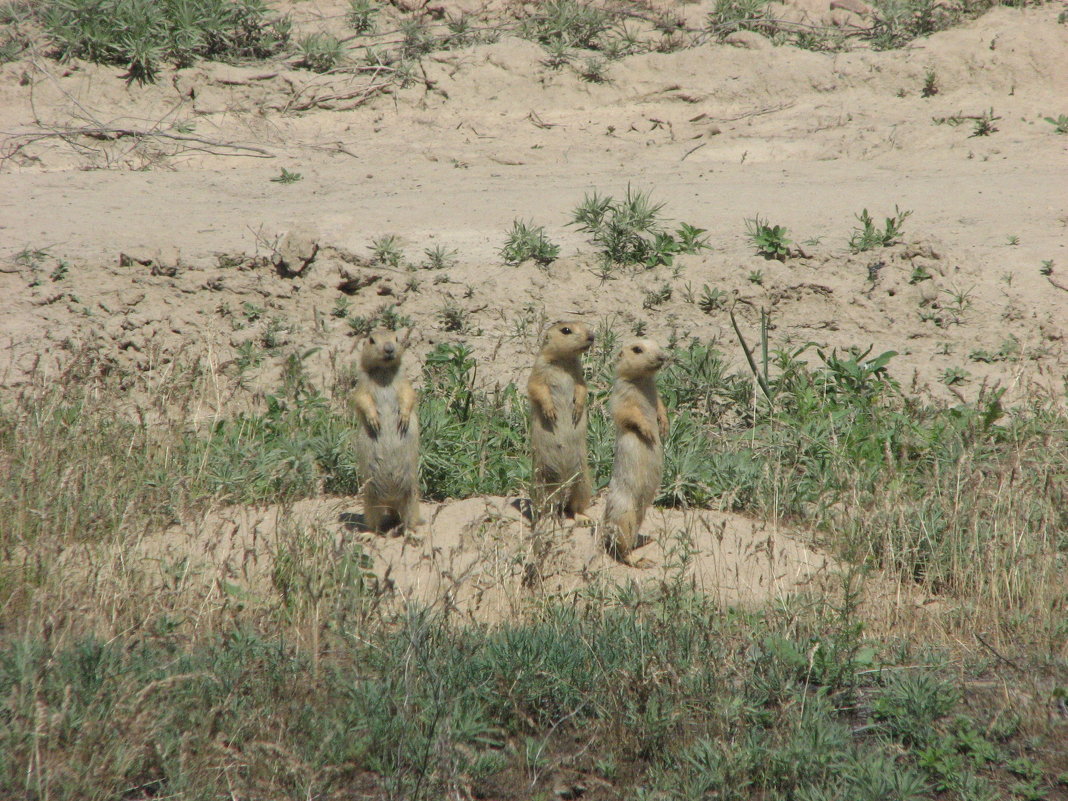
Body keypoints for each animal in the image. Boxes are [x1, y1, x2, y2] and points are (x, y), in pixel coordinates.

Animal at [348, 328, 418, 536]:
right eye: (371, 340)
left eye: (396, 338)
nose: (389, 348)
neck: (385, 372)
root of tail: (391, 501)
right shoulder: (361, 385)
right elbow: (362, 399)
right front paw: (373, 421)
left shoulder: (405, 382)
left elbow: (409, 394)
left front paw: (403, 418)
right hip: (370, 498)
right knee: (375, 521)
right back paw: (370, 535)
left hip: (412, 494)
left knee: (409, 519)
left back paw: (410, 534)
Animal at [602, 337, 666, 559]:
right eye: (637, 349)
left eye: (658, 345)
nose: (663, 356)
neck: (642, 381)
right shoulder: (620, 395)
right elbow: (628, 414)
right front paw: (648, 432)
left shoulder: (656, 393)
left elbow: (661, 406)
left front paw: (664, 426)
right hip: (625, 516)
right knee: (622, 550)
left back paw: (645, 539)